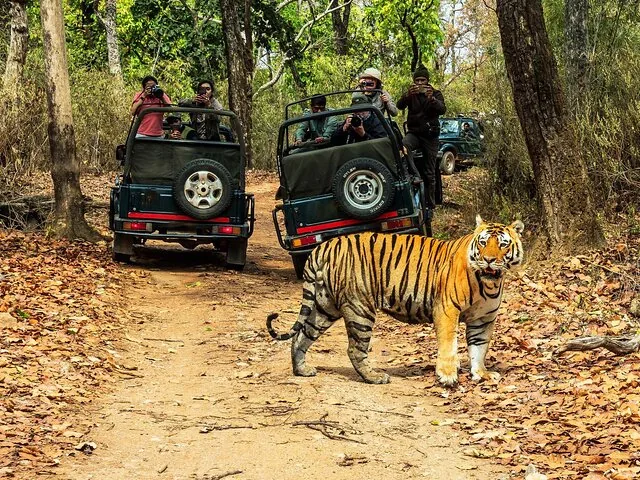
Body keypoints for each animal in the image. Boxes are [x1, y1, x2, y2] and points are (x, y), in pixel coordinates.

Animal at [266, 215, 524, 386]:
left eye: (503, 244)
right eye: (483, 243)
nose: (489, 260)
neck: (489, 283)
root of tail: (323, 246)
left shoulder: (483, 319)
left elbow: (479, 348)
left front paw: (481, 373)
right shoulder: (447, 309)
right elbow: (448, 344)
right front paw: (448, 376)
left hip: (324, 306)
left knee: (301, 335)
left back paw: (301, 369)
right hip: (360, 308)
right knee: (354, 349)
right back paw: (375, 377)